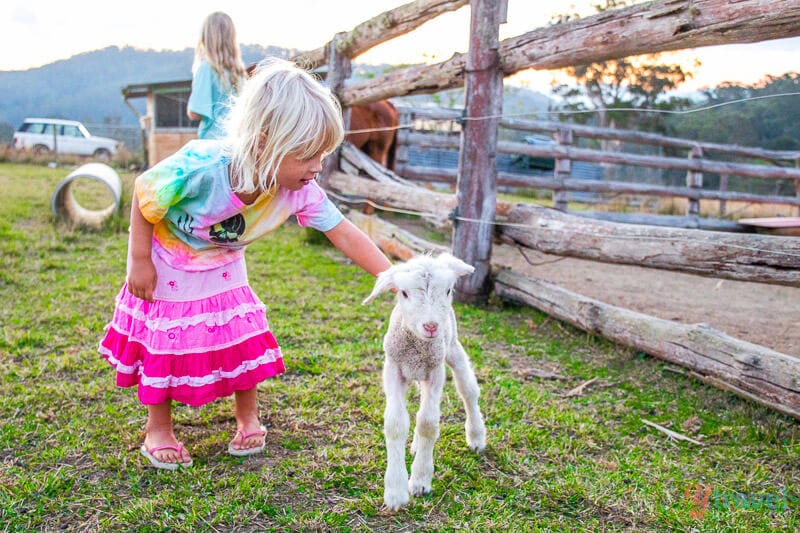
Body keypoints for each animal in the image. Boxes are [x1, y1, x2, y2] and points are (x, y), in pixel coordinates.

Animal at [364, 251, 488, 510]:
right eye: (403, 293)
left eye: (449, 290)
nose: (431, 326)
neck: (417, 346)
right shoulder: (393, 369)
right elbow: (396, 423)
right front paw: (395, 490)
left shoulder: (435, 372)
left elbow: (428, 424)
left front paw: (420, 480)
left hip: (452, 348)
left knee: (468, 390)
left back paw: (476, 436)